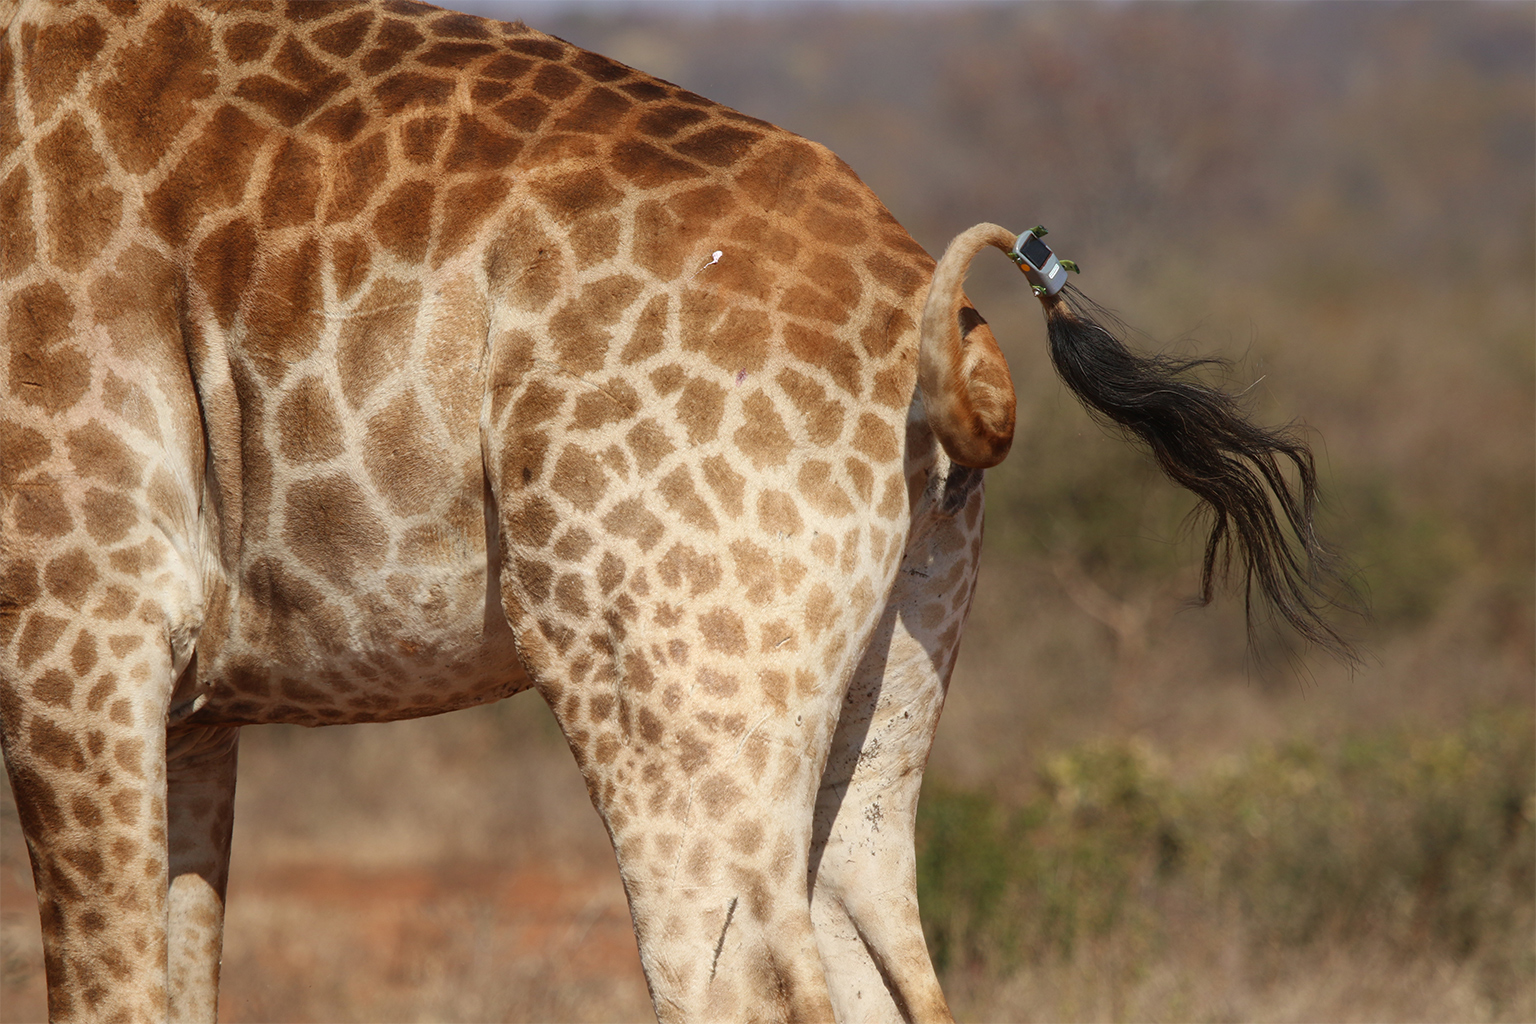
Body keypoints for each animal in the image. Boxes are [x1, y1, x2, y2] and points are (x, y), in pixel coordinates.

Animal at [3, 0, 1345, 1019]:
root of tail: (930, 304)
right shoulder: (192, 708)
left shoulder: (79, 633)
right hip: (878, 687)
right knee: (885, 962)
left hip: (665, 684)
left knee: (744, 978)